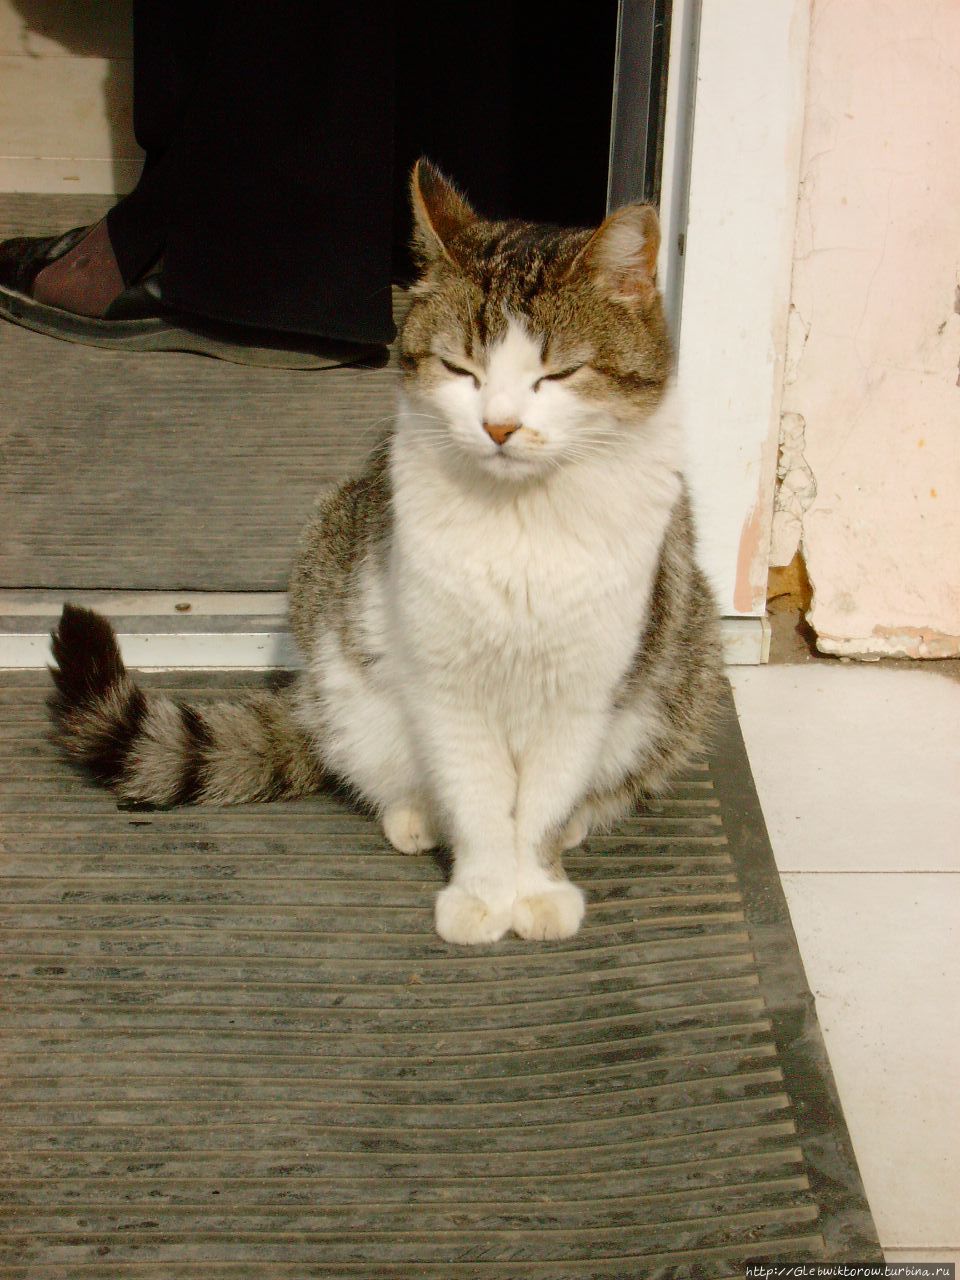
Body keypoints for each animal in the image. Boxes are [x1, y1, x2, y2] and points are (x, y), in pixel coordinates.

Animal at [47, 160, 721, 947]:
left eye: (556, 376)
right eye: (461, 370)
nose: (499, 426)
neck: (520, 519)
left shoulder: (585, 688)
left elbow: (544, 802)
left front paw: (535, 886)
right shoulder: (444, 683)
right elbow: (479, 798)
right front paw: (483, 893)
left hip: (680, 667)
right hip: (345, 664)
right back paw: (414, 815)